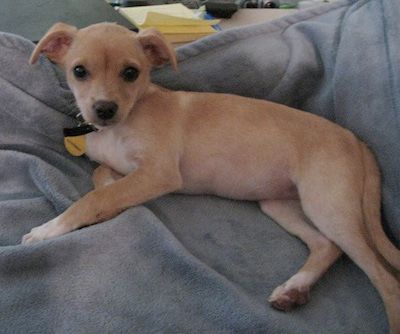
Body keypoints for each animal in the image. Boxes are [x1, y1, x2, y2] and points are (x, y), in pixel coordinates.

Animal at [26, 22, 398, 332]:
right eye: (79, 71)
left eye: (131, 73)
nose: (104, 110)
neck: (122, 123)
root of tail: (356, 140)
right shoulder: (132, 170)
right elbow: (103, 176)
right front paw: (112, 199)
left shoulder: (160, 172)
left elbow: (95, 197)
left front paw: (47, 229)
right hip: (281, 204)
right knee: (326, 246)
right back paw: (295, 288)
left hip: (329, 206)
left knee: (385, 279)